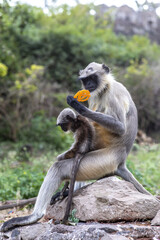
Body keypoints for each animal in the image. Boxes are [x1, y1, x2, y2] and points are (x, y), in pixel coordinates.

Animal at [0, 62, 151, 232]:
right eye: (85, 80)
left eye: (93, 77)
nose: (90, 85)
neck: (105, 88)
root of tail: (121, 161)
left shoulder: (114, 94)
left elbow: (119, 127)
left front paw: (77, 106)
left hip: (104, 161)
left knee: (59, 167)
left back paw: (35, 216)